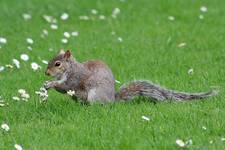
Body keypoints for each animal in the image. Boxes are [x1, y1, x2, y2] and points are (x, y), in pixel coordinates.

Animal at [43, 49, 218, 103]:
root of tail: (113, 100)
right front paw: (46, 84)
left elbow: (65, 86)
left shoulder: (75, 78)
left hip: (95, 96)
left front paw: (51, 84)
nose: (46, 73)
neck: (70, 68)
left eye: (57, 64)